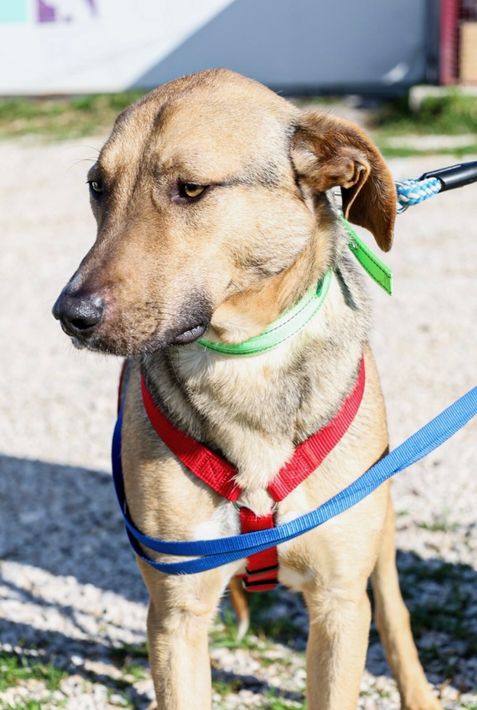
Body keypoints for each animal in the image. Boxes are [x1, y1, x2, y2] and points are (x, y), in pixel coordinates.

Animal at [53, 69, 441, 709]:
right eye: (97, 187)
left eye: (190, 189)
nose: (70, 315)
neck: (242, 361)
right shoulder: (176, 615)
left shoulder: (338, 607)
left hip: (379, 531)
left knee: (393, 608)